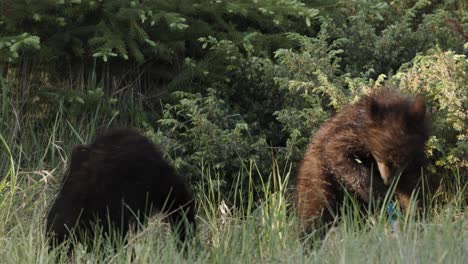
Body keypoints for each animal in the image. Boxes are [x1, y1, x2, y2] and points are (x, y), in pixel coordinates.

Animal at [296, 89, 432, 232]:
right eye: (381, 157)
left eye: (399, 161)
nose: (388, 181)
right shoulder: (351, 133)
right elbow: (335, 151)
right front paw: (377, 192)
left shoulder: (414, 159)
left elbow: (413, 185)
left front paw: (415, 214)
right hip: (318, 177)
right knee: (317, 207)